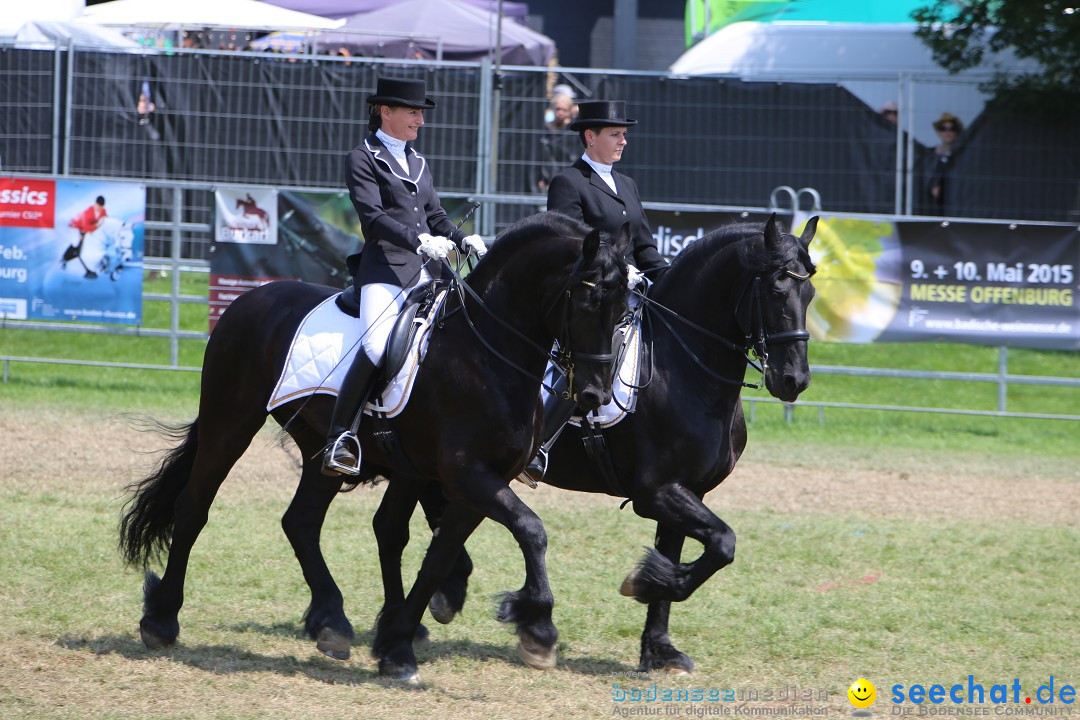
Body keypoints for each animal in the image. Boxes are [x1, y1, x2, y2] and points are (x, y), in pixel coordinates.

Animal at [120, 212, 630, 682]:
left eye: (625, 308)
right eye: (589, 299)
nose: (595, 395)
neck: (487, 355)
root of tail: (249, 298)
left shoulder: (480, 482)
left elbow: (438, 558)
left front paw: (398, 647)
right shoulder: (468, 476)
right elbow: (531, 530)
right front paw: (538, 627)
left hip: (319, 447)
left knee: (300, 520)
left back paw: (332, 622)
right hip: (230, 422)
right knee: (193, 508)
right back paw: (161, 621)